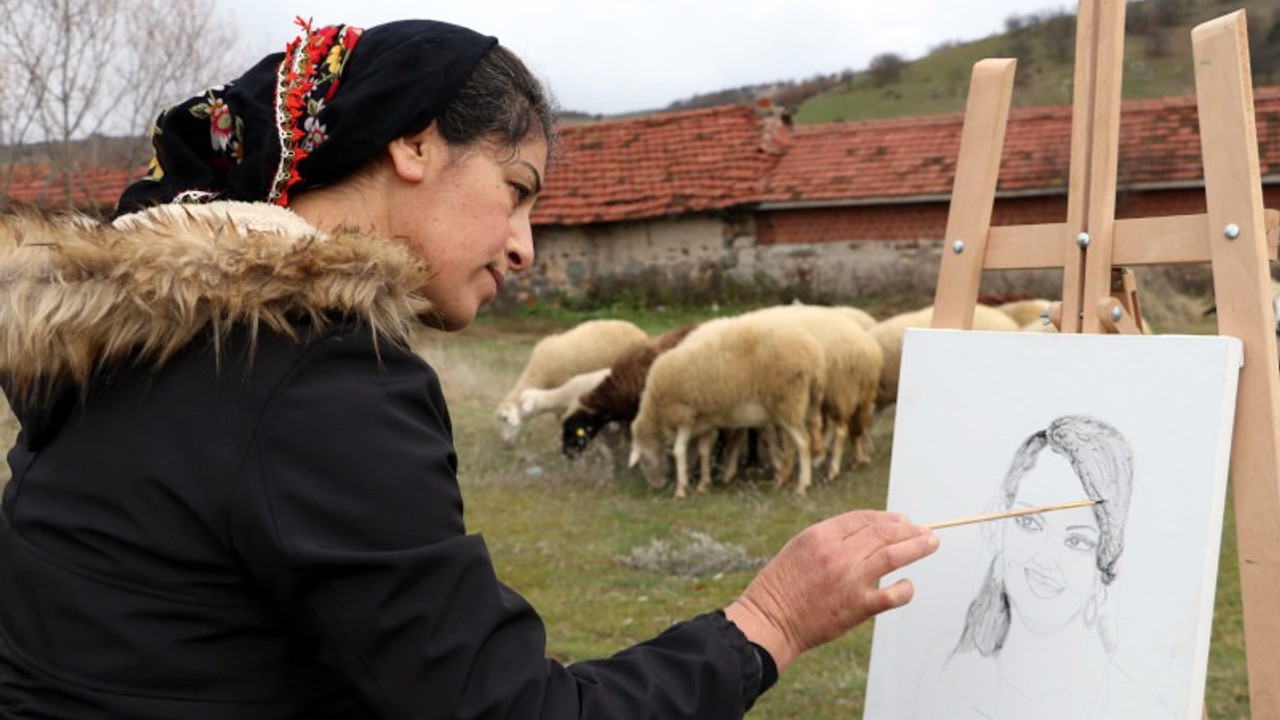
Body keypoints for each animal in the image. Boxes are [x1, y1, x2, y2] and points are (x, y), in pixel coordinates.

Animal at [491, 317, 645, 440]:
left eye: (505, 419)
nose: (505, 441)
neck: (539, 372)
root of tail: (639, 331)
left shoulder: (563, 387)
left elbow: (561, 416)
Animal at [632, 316, 829, 497]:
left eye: (642, 460)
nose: (656, 486)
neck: (655, 405)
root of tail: (814, 358)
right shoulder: (703, 421)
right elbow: (704, 451)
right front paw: (703, 484)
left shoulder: (684, 415)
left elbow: (679, 451)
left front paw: (681, 489)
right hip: (801, 405)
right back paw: (786, 478)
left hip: (788, 403)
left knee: (803, 442)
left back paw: (801, 485)